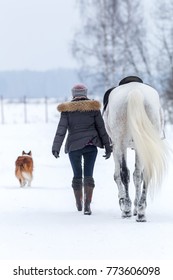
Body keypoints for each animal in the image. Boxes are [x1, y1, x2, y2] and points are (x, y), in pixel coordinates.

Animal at [102, 77, 169, 222]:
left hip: (120, 143)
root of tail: (135, 91)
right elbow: (137, 176)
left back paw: (127, 209)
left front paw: (125, 205)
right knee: (144, 174)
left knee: (124, 173)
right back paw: (141, 212)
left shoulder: (116, 147)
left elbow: (118, 175)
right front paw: (136, 207)